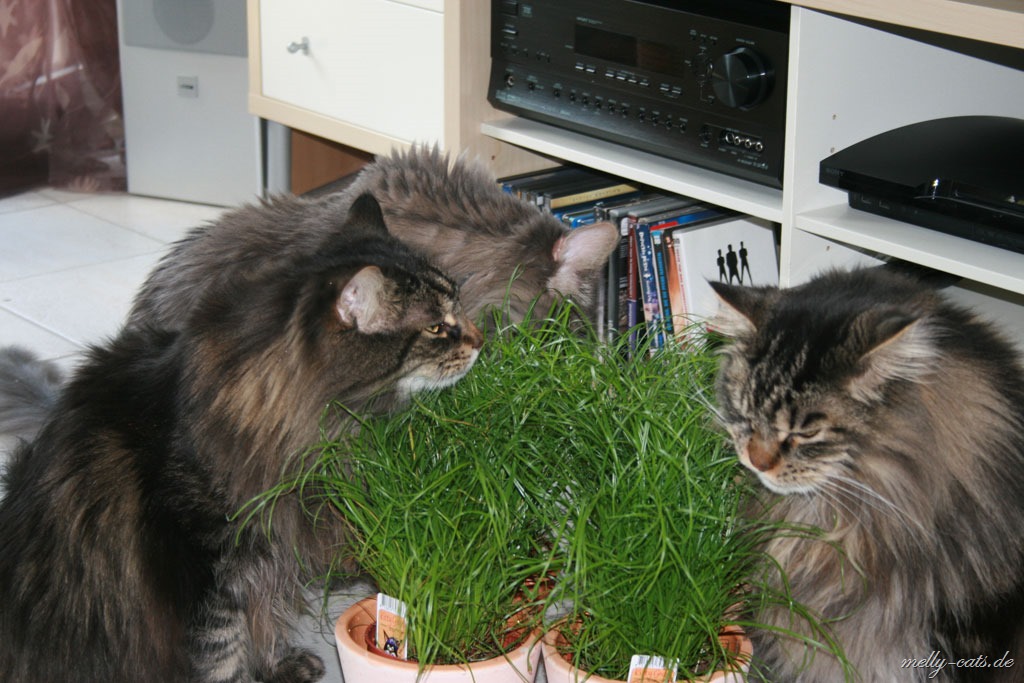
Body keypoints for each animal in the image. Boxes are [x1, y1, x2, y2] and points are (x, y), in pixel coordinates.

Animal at [0, 193, 483, 682]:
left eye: (460, 305)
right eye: (436, 328)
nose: (482, 340)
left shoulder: (271, 554)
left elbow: (263, 615)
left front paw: (279, 665)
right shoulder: (208, 573)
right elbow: (222, 651)